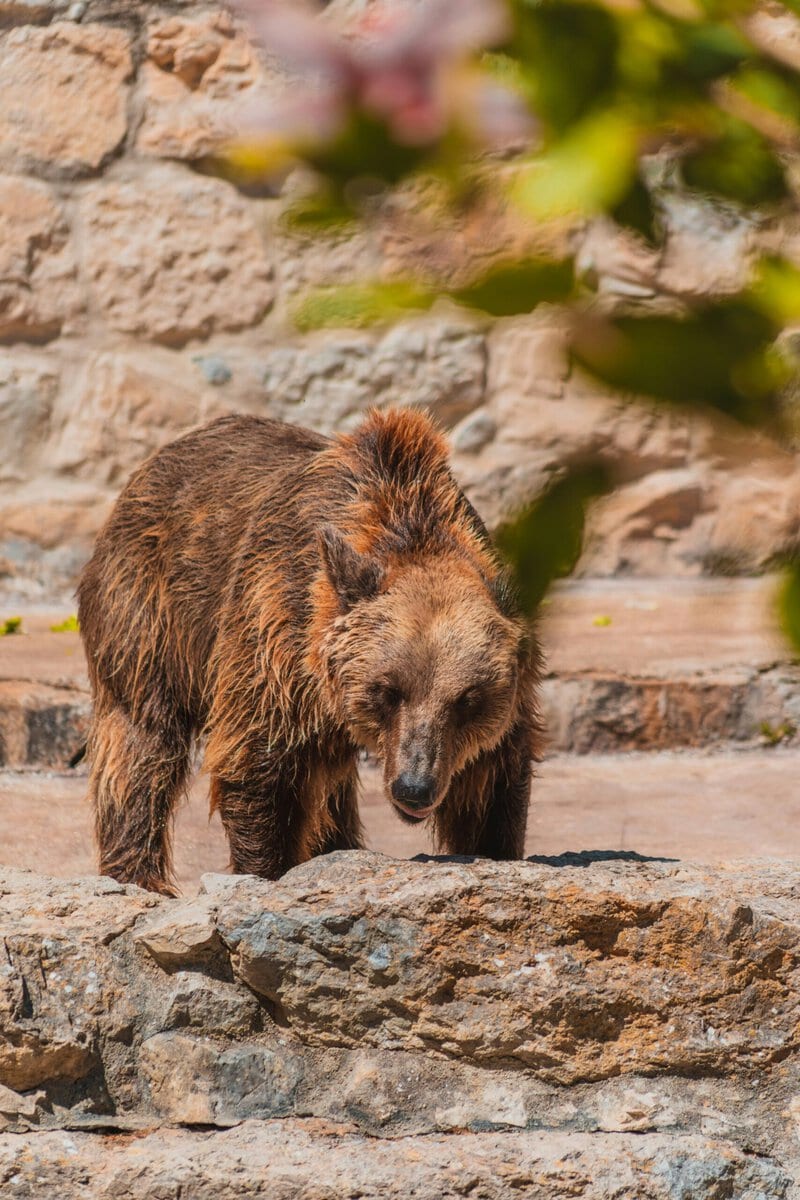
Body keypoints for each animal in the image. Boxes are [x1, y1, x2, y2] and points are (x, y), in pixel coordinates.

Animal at [78, 408, 543, 895]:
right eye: (387, 690)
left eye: (467, 700)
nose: (414, 787)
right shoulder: (275, 626)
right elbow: (259, 763)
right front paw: (269, 870)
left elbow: (491, 784)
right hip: (149, 607)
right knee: (140, 739)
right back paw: (138, 877)